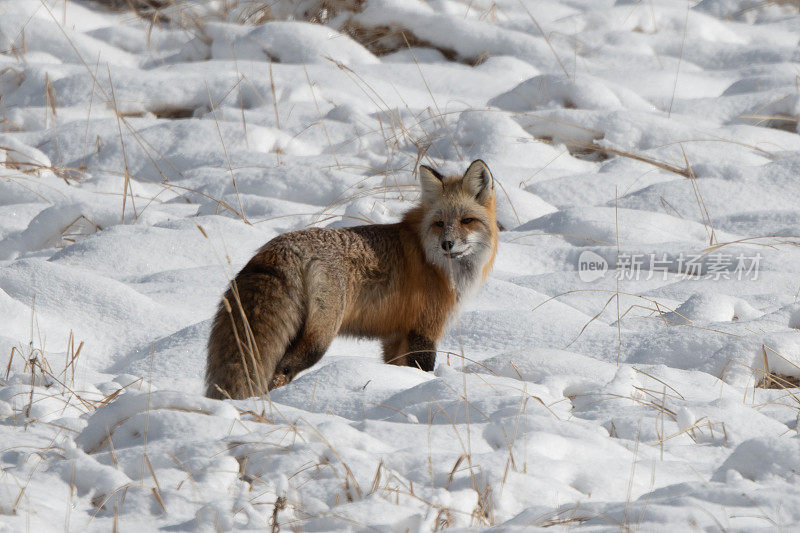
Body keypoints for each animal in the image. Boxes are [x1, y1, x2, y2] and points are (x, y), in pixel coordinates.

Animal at [203, 159, 496, 400]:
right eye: (439, 223)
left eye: (466, 220)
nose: (447, 244)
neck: (433, 260)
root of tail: (284, 247)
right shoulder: (424, 331)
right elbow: (420, 371)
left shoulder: (395, 337)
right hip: (318, 339)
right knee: (279, 373)